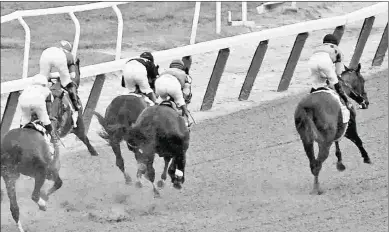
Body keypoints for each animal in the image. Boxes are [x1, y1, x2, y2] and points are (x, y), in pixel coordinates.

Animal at [296, 63, 372, 194]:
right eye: (363, 80)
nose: (365, 102)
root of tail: (307, 107)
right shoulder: (350, 126)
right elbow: (358, 141)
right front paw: (366, 158)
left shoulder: (339, 129)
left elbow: (338, 143)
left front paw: (340, 163)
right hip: (325, 142)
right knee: (317, 164)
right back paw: (317, 188)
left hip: (307, 141)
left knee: (313, 163)